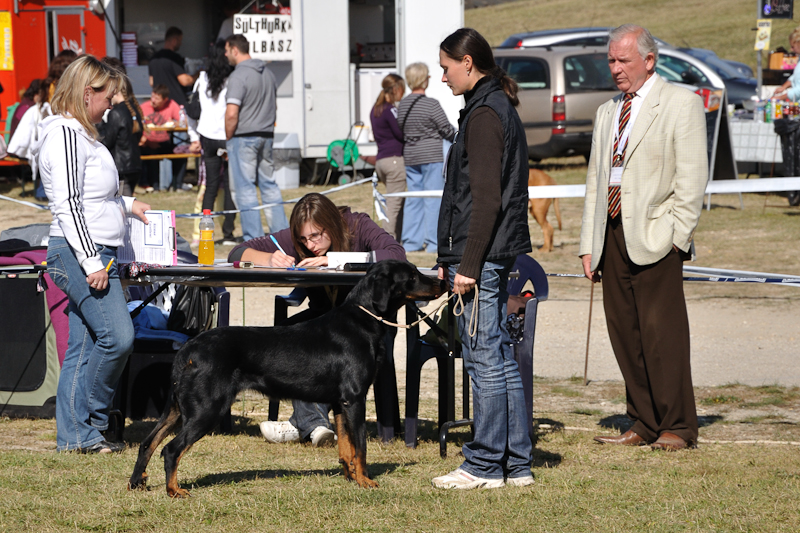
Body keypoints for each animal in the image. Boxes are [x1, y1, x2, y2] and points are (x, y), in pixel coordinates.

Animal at [128, 260, 444, 497]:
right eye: (412, 276)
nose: (442, 282)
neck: (365, 320)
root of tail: (188, 349)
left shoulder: (340, 403)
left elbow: (346, 448)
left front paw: (351, 478)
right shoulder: (355, 398)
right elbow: (361, 447)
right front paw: (366, 482)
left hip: (177, 407)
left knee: (148, 443)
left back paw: (137, 483)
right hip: (206, 409)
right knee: (171, 449)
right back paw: (174, 490)